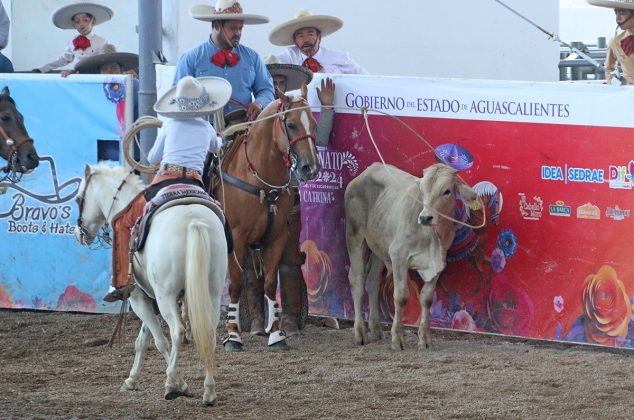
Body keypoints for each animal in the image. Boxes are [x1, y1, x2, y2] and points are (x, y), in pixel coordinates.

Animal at [74, 162, 227, 406]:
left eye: (79, 199)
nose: (79, 233)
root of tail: (193, 220)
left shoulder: (138, 298)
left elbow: (159, 341)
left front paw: (179, 383)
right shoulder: (149, 298)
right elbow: (143, 339)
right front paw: (131, 380)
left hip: (167, 297)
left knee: (177, 331)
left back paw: (171, 384)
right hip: (211, 291)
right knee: (208, 333)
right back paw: (209, 391)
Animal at [210, 87, 318, 350]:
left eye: (313, 123)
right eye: (291, 124)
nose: (310, 168)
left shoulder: (278, 236)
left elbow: (269, 282)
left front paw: (277, 334)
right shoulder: (236, 238)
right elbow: (236, 283)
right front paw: (233, 336)